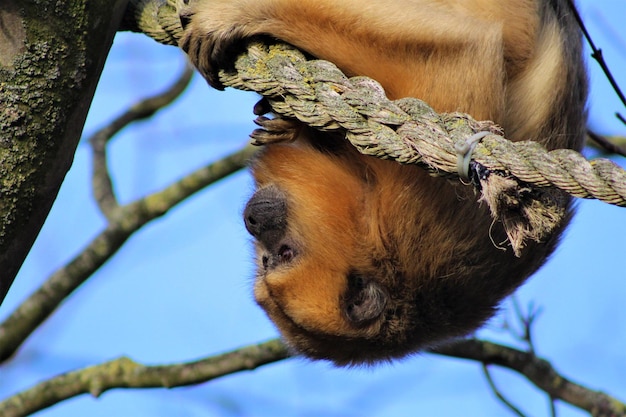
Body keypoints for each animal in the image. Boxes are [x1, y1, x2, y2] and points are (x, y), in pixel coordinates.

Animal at [179, 0, 584, 364]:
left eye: (282, 254)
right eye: (262, 260)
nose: (253, 220)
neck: (370, 221)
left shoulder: (414, 213)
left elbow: (460, 53)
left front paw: (241, 14)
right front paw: (292, 127)